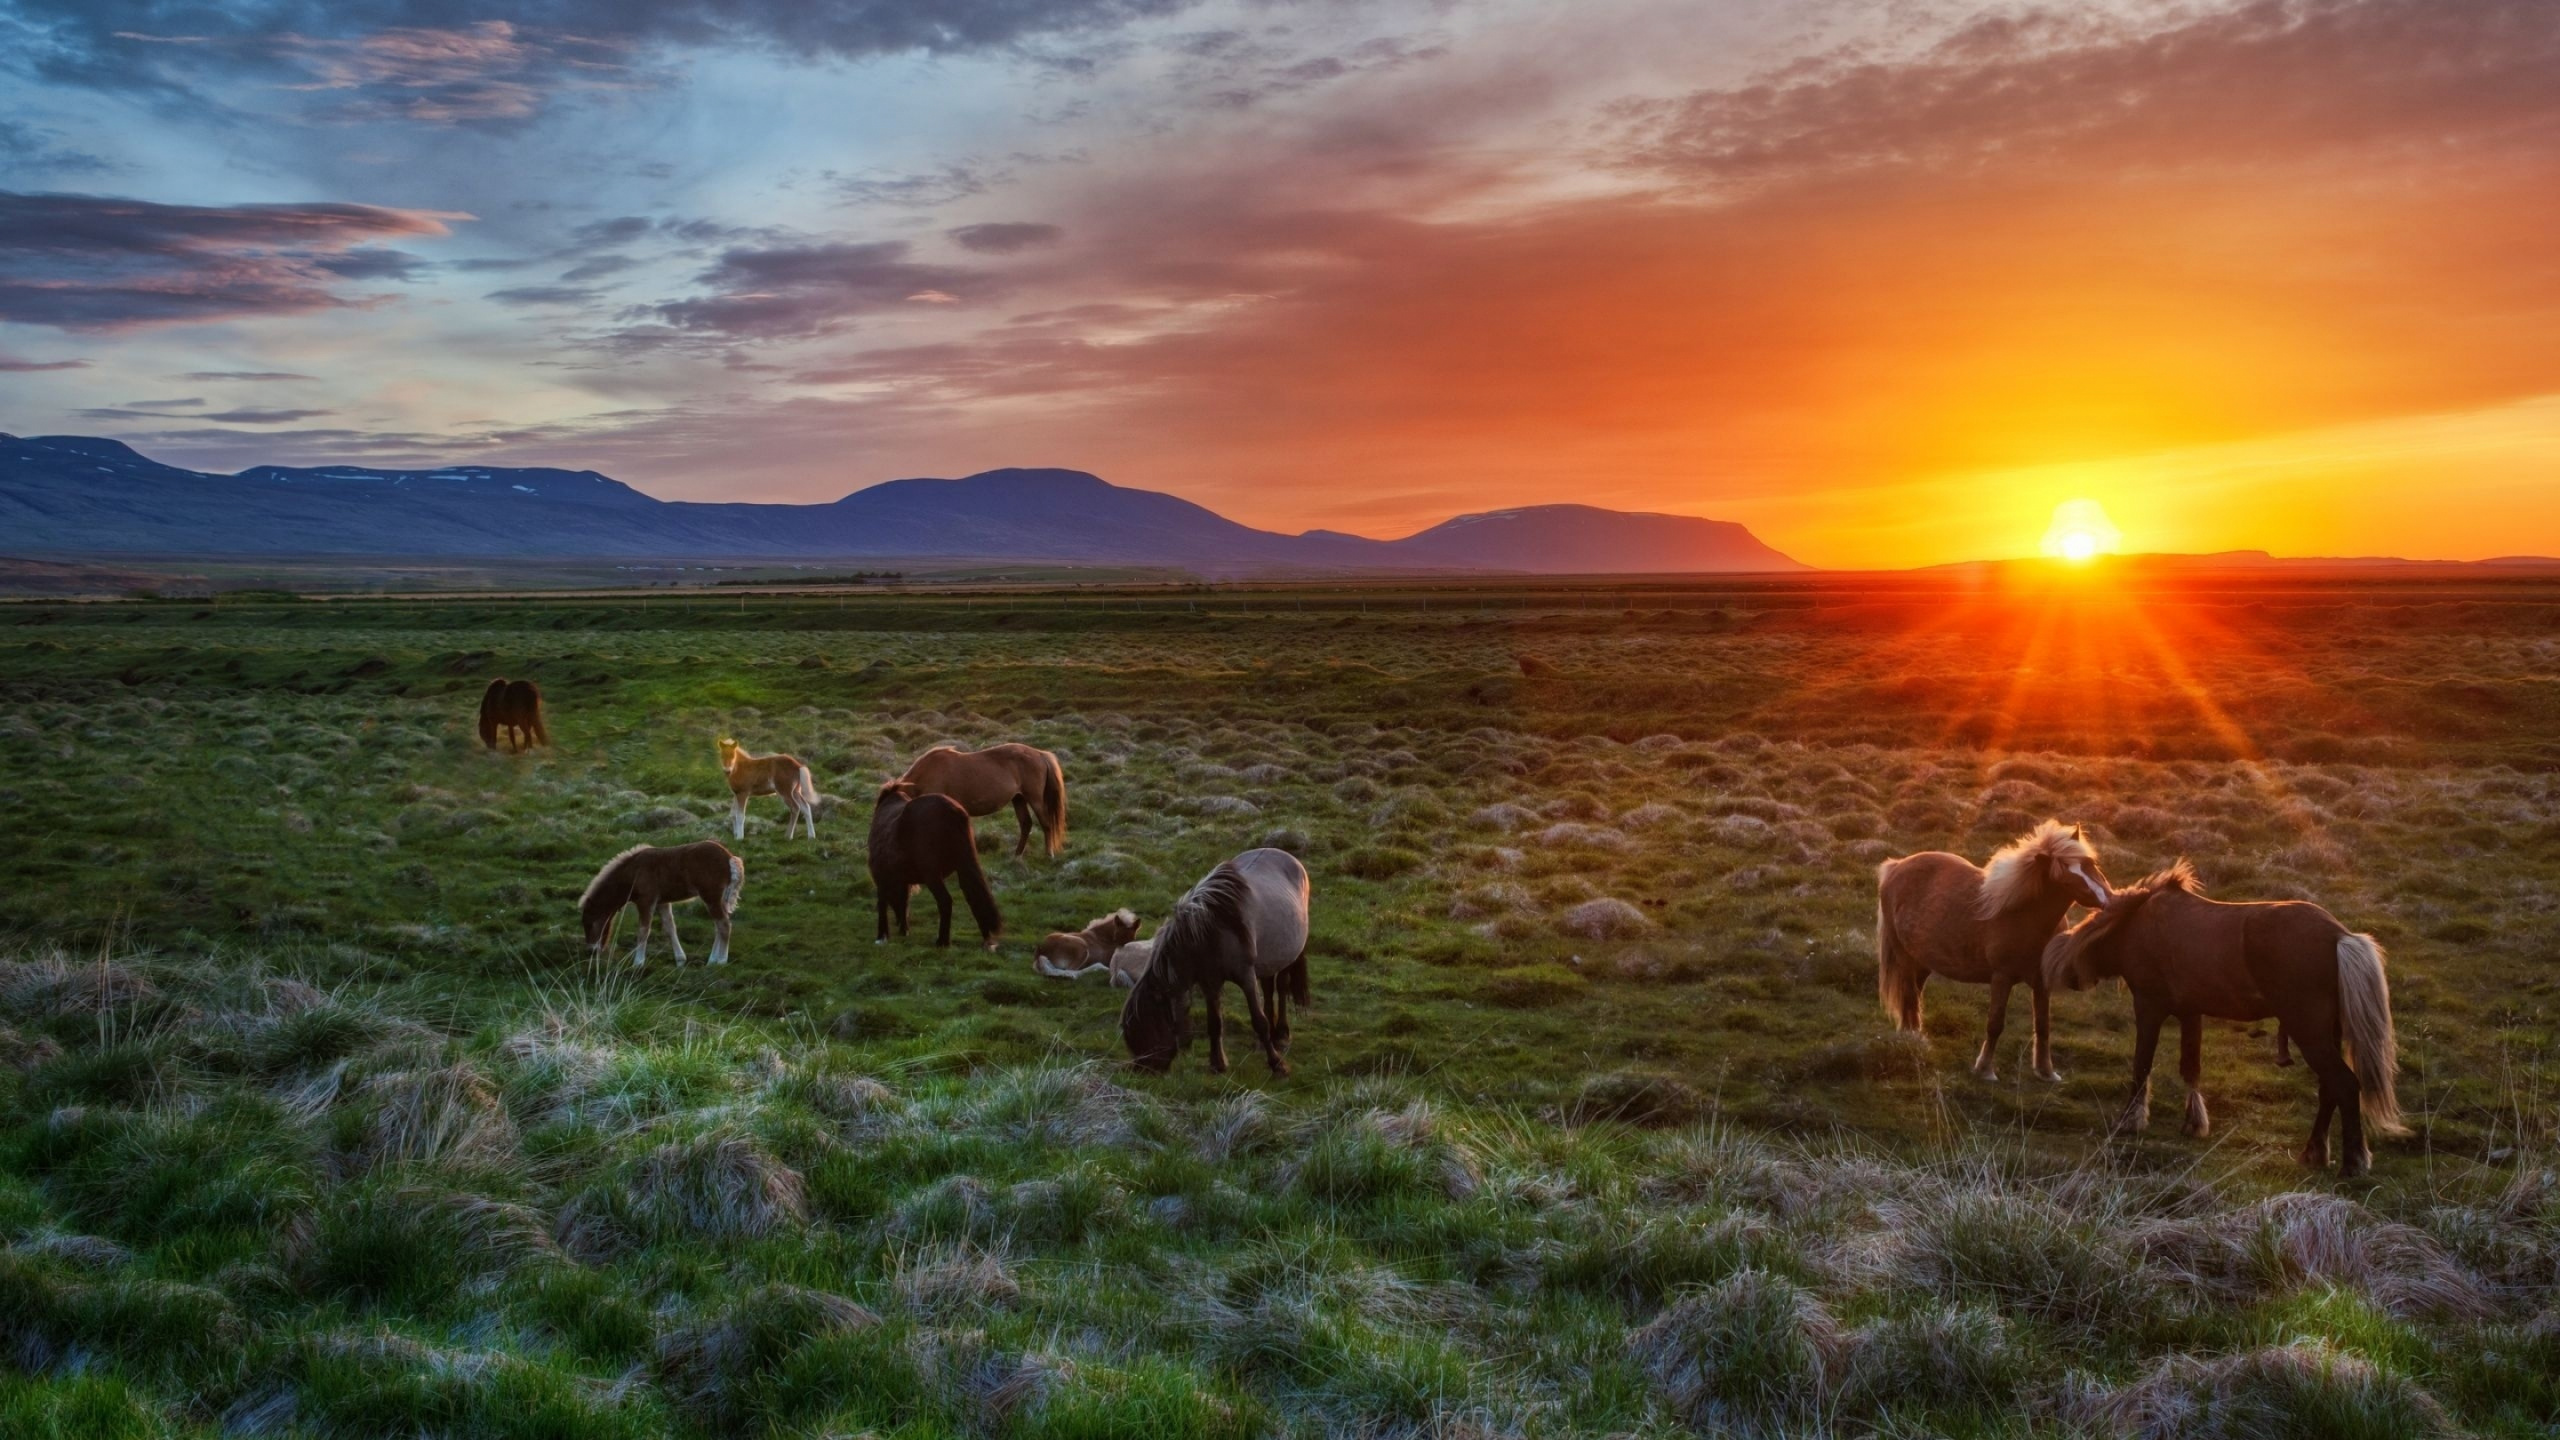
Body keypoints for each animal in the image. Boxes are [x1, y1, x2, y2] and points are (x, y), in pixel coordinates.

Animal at [581, 840, 742, 963]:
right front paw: (680, 959)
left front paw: (638, 962)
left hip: (711, 897)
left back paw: (720, 961)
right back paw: (712, 960)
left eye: (590, 923)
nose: (591, 950)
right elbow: (670, 927)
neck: (634, 872)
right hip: (719, 899)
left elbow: (643, 930)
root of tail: (730, 858)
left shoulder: (646, 901)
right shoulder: (662, 902)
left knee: (724, 925)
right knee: (718, 926)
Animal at [875, 778, 1003, 948]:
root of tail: (953, 811)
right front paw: (903, 930)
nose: (898, 925)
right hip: (965, 866)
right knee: (975, 895)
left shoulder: (881, 877)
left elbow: (883, 903)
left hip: (933, 875)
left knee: (945, 901)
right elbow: (904, 901)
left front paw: (882, 936)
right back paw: (986, 939)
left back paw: (942, 941)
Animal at [901, 737, 1070, 850]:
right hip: (1018, 798)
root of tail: (1040, 754)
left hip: (1035, 799)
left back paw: (1048, 854)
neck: (928, 774)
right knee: (1026, 824)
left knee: (1046, 824)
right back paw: (1017, 856)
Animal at [1873, 819, 2109, 1076]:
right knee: (1909, 997)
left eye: (2091, 864)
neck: (2024, 915)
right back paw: (1915, 1042)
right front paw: (1985, 1069)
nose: (2107, 900)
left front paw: (2046, 1071)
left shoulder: (2041, 982)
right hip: (1904, 957)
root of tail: (1896, 867)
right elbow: (1995, 1024)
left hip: (1922, 961)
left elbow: (2043, 1025)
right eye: (2065, 879)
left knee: (1914, 996)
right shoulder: (2001, 977)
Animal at [2037, 855, 2396, 1173]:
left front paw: (2131, 1120)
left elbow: (2142, 1066)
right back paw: (2315, 1153)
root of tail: (2340, 936)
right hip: (2326, 1033)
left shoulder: (2149, 1007)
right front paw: (2194, 1122)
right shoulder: (2190, 1013)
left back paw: (2353, 1162)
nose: (2072, 979)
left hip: (2308, 1031)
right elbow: (2190, 1069)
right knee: (2329, 1088)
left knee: (2345, 1084)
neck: (2135, 926)